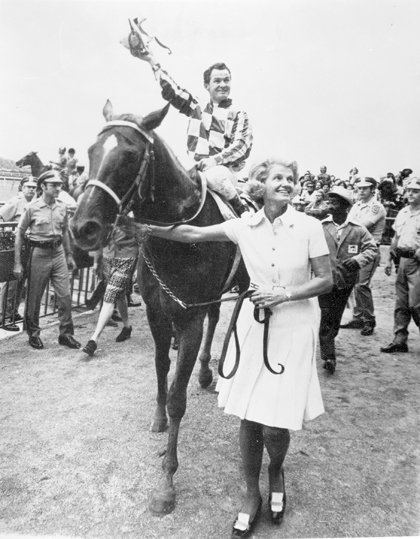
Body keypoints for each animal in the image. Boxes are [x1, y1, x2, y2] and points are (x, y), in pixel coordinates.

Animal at [71, 100, 251, 516]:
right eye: (91, 151)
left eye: (129, 154)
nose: (83, 227)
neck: (179, 236)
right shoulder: (159, 313)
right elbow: (160, 368)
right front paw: (157, 418)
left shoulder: (189, 318)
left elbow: (177, 399)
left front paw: (167, 483)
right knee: (217, 318)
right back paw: (207, 371)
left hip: (244, 285)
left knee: (235, 317)